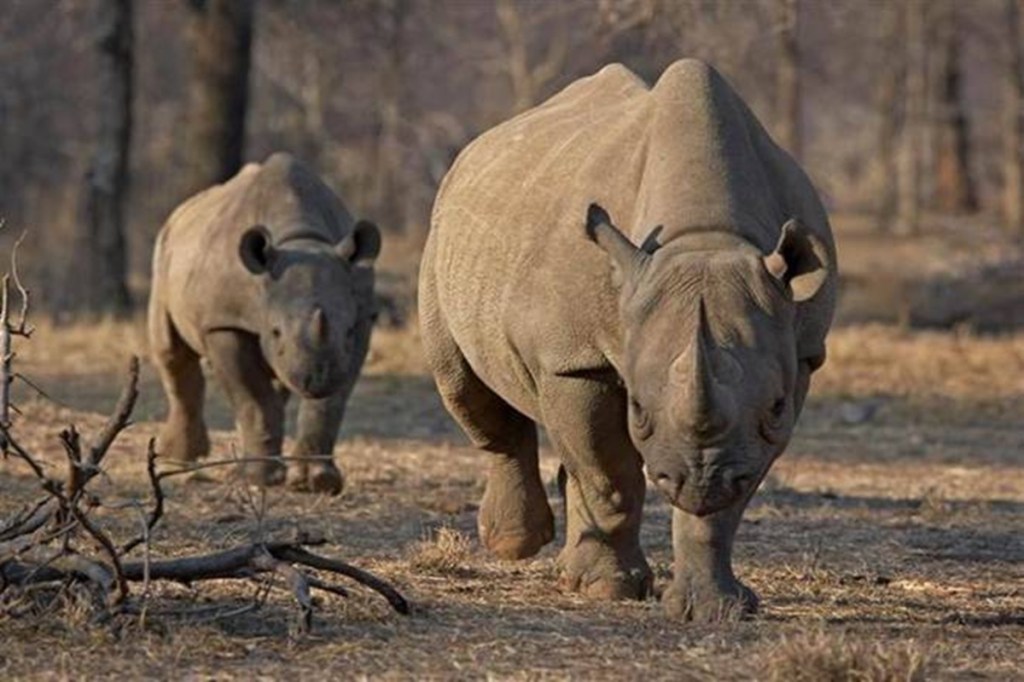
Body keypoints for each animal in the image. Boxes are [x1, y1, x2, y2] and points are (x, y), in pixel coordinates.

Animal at [149, 152, 381, 495]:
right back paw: (179, 458)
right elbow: (253, 398)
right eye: (275, 331)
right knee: (171, 352)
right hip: (164, 250)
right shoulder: (225, 322)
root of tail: (182, 211)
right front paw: (256, 480)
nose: (316, 379)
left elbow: (330, 404)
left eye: (348, 331)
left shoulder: (363, 317)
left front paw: (318, 482)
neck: (301, 239)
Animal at [419, 60, 836, 620]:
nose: (699, 480)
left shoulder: (798, 357)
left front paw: (715, 609)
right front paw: (609, 589)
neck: (704, 236)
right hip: (444, 234)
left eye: (774, 407)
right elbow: (610, 472)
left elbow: (728, 497)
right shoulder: (575, 359)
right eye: (637, 408)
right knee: (464, 385)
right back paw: (516, 545)